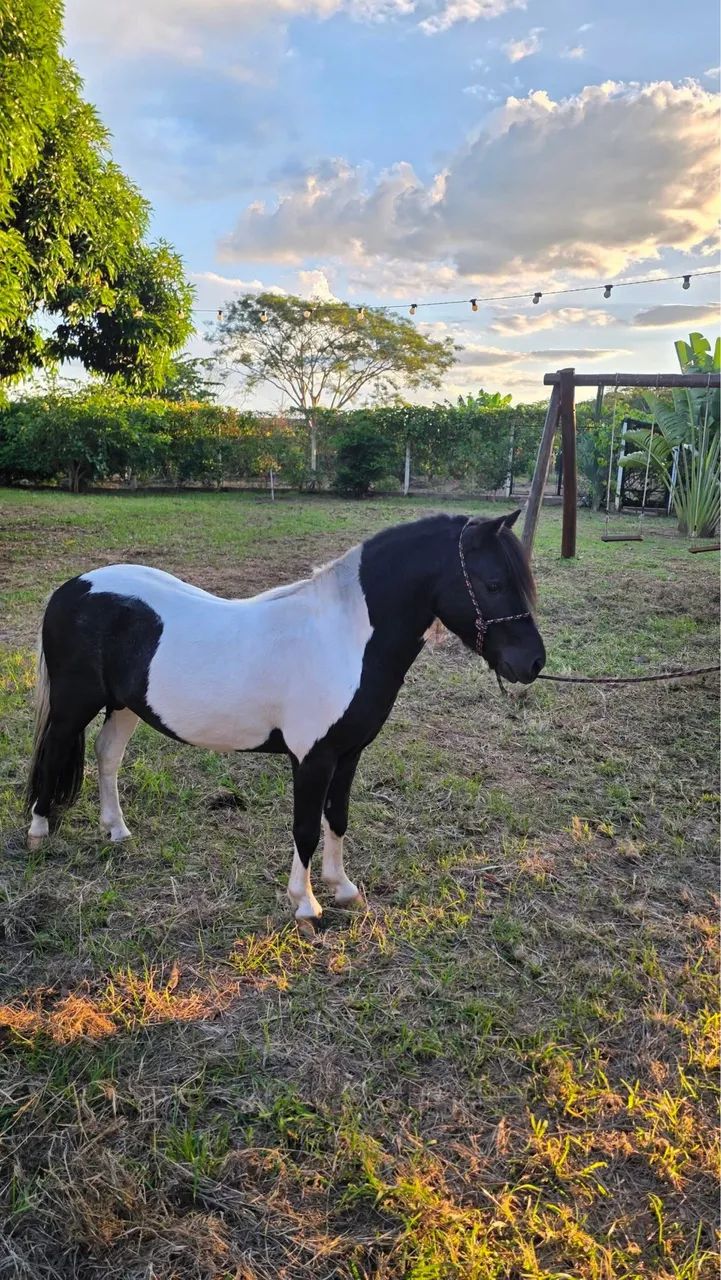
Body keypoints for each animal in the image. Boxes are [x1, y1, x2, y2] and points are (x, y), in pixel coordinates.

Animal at [25, 510, 545, 922]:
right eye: (493, 583)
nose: (533, 663)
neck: (343, 638)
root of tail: (71, 589)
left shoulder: (348, 754)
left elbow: (338, 818)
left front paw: (343, 889)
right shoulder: (312, 758)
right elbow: (306, 828)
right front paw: (305, 904)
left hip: (125, 706)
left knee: (107, 755)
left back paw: (116, 829)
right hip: (74, 706)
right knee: (53, 752)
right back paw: (38, 831)